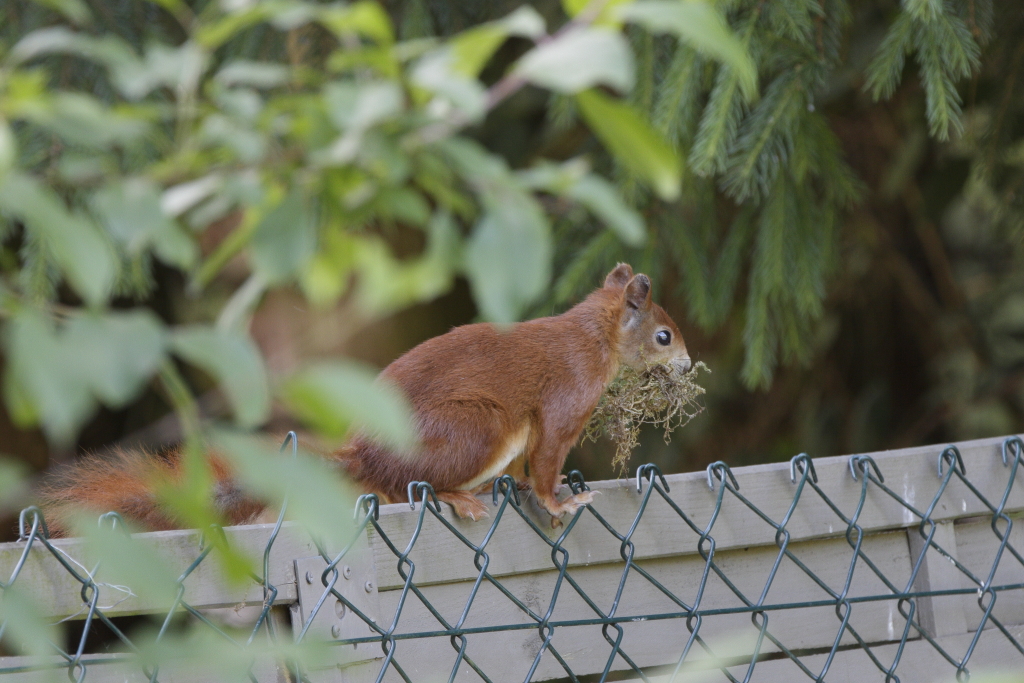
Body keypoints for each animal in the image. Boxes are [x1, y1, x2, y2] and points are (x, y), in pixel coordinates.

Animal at [44, 264, 692, 532]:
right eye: (664, 335)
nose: (687, 364)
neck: (595, 336)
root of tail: (366, 456)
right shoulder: (563, 403)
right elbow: (547, 464)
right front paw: (563, 503)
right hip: (480, 427)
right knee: (407, 487)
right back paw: (459, 497)